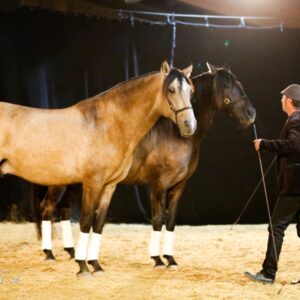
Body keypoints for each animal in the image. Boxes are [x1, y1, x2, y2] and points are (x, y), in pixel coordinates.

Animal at [0, 61, 197, 276]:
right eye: (171, 90)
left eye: (190, 91)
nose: (189, 125)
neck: (107, 124)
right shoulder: (92, 183)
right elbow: (86, 221)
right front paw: (82, 267)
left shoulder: (109, 186)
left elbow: (99, 223)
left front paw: (95, 265)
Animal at [34, 62, 255, 268]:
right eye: (227, 85)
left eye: (190, 91)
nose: (250, 113)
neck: (174, 134)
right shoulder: (158, 185)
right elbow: (157, 219)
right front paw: (157, 259)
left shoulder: (179, 186)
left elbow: (171, 221)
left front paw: (171, 259)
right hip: (61, 182)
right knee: (47, 207)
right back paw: (50, 253)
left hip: (76, 183)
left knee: (64, 209)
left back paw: (71, 252)